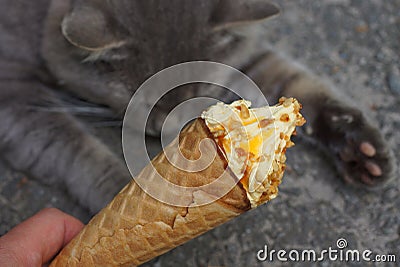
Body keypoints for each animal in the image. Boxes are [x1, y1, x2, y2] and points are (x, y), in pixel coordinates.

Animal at [0, 0, 394, 214]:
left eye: (201, 90)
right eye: (145, 102)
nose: (174, 132)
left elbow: (296, 83)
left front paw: (359, 147)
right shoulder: (14, 95)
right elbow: (72, 148)